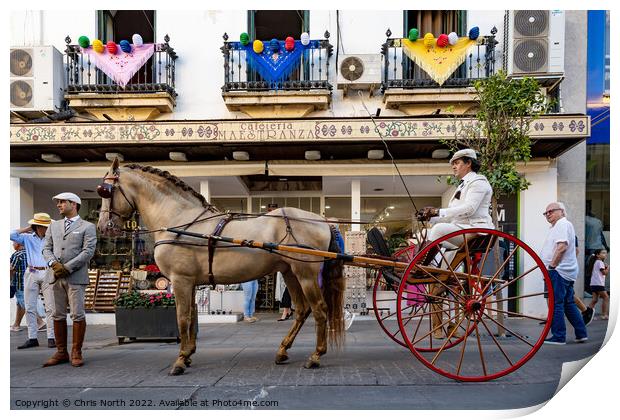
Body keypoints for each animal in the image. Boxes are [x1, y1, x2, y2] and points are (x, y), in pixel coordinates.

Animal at [99, 158, 346, 374]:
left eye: (105, 190)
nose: (103, 226)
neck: (181, 220)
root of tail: (323, 221)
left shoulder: (180, 280)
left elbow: (182, 317)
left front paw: (180, 360)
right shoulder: (189, 283)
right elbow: (191, 316)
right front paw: (188, 354)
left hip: (306, 274)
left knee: (320, 309)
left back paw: (316, 355)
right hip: (290, 273)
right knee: (302, 310)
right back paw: (283, 350)